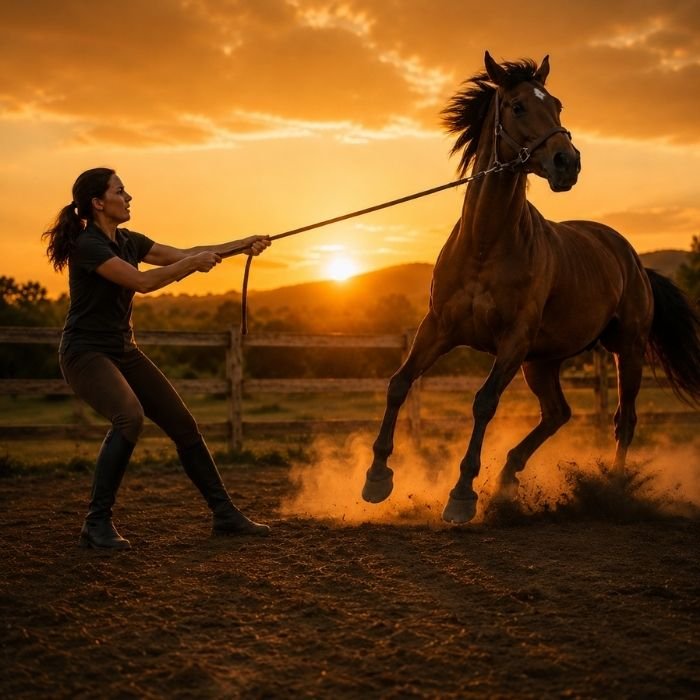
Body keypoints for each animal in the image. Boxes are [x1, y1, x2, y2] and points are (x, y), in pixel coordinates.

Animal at [361, 51, 700, 524]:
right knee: (558, 413)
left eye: (557, 105)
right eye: (518, 106)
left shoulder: (513, 341)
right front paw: (377, 477)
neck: (485, 244)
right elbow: (399, 382)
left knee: (624, 420)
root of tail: (631, 258)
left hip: (625, 349)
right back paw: (508, 477)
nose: (567, 162)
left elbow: (484, 402)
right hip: (543, 362)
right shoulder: (438, 330)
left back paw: (613, 490)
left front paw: (462, 494)